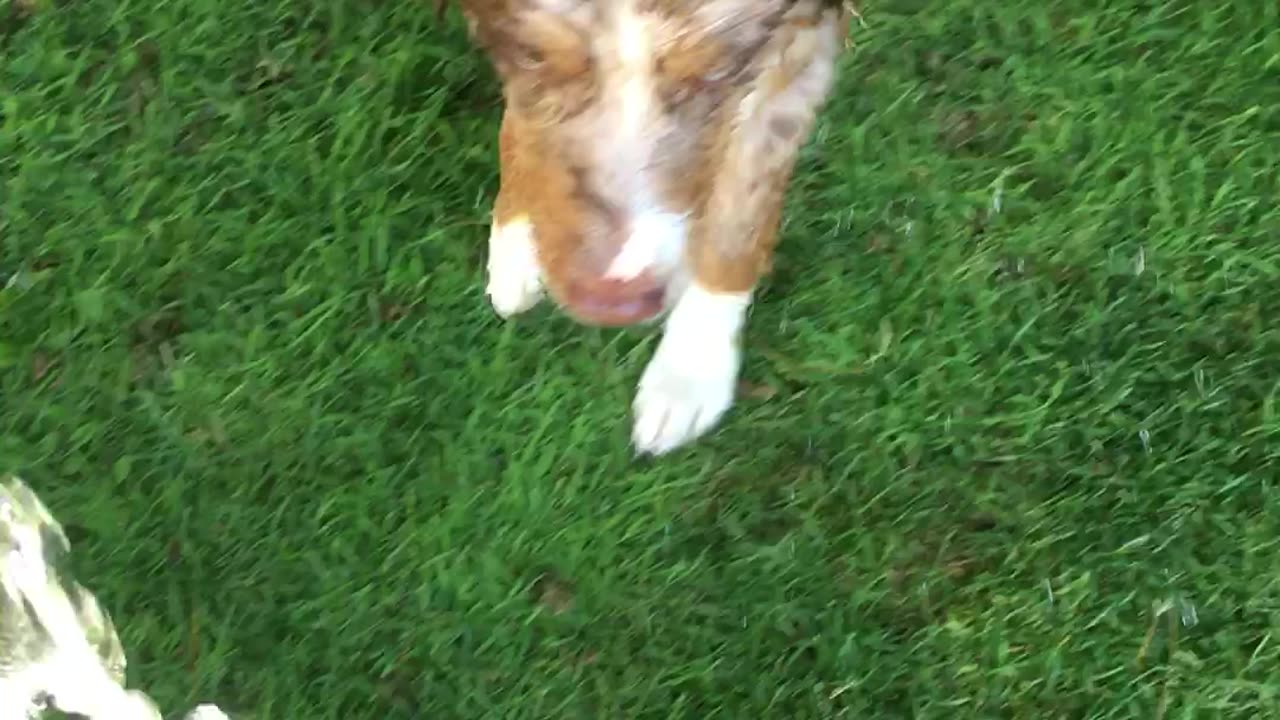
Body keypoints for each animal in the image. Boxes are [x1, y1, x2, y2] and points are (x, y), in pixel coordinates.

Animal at [450, 1, 849, 453]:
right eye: (534, 57)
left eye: (718, 72)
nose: (611, 303)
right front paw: (516, 235)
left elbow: (740, 215)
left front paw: (688, 373)